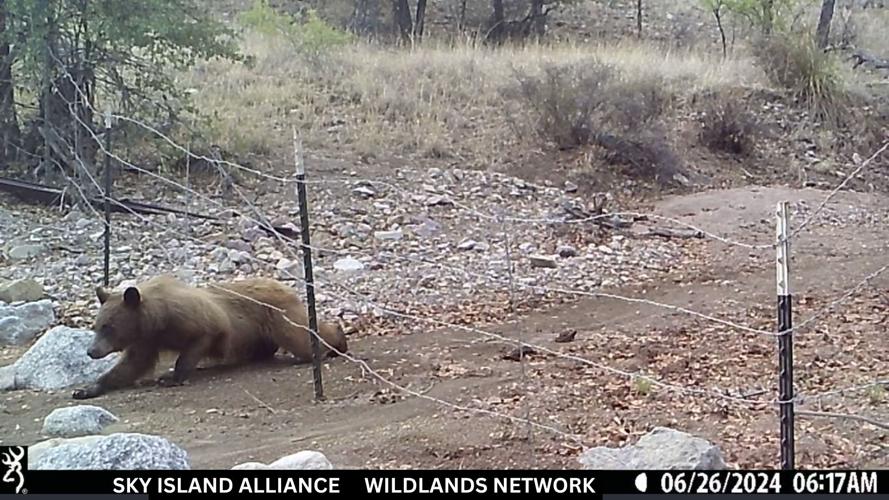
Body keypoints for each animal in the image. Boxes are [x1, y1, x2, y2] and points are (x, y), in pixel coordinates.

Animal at [72, 274, 348, 399]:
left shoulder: (197, 322)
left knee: (301, 340)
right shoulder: (146, 339)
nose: (91, 351)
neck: (155, 319)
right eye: (96, 325)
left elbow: (195, 345)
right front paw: (87, 389)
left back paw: (337, 341)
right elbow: (132, 364)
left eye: (108, 326)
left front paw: (170, 376)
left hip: (277, 316)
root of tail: (285, 286)